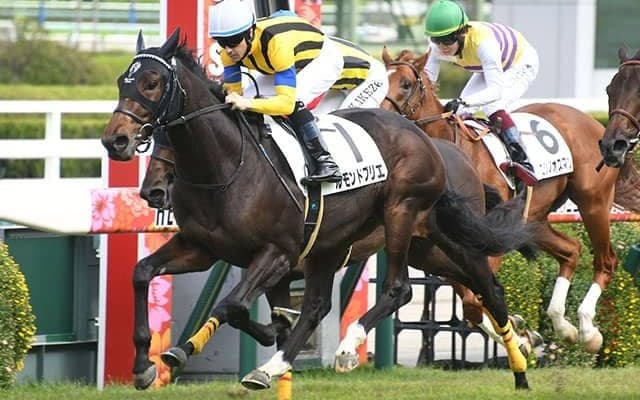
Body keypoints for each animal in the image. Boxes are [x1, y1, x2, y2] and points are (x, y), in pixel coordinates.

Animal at [101, 29, 542, 391]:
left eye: (152, 83)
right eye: (122, 81)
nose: (115, 141)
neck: (228, 165)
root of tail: (429, 143)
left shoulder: (277, 252)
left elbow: (235, 306)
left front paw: (192, 347)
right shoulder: (204, 247)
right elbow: (143, 273)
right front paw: (145, 365)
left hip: (407, 218)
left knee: (421, 288)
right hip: (410, 248)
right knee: (325, 305)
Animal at [380, 47, 640, 354]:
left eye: (406, 84)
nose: (381, 116)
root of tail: (595, 124)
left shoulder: (489, 238)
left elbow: (475, 300)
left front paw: (521, 336)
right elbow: (470, 299)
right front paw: (525, 336)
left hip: (593, 204)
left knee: (606, 260)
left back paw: (589, 331)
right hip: (533, 219)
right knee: (572, 249)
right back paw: (563, 326)